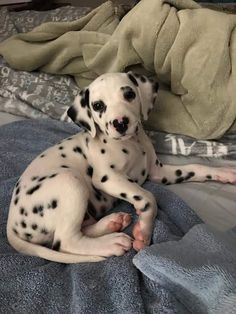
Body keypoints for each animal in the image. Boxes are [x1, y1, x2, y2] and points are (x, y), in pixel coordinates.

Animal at [6, 72, 236, 264]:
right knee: (65, 241)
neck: (132, 144)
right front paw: (144, 231)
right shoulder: (108, 178)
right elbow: (148, 197)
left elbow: (196, 167)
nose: (120, 123)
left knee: (78, 230)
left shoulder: (158, 172)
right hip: (71, 182)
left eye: (129, 94)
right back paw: (110, 243)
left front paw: (224, 173)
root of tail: (11, 222)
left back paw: (111, 223)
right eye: (98, 105)